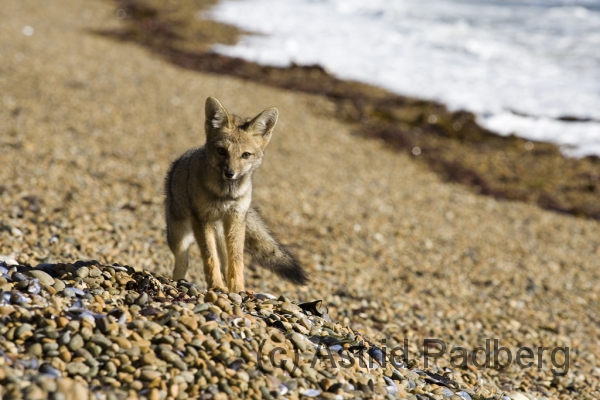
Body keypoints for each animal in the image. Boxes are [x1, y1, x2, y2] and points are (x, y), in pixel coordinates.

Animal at [163, 95, 308, 292]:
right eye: (221, 151)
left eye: (245, 155)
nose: (230, 173)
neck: (226, 195)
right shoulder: (201, 218)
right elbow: (209, 257)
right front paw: (216, 286)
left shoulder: (236, 218)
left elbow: (237, 259)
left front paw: (238, 288)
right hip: (179, 236)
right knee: (182, 260)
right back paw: (178, 282)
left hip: (223, 232)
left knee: (225, 261)